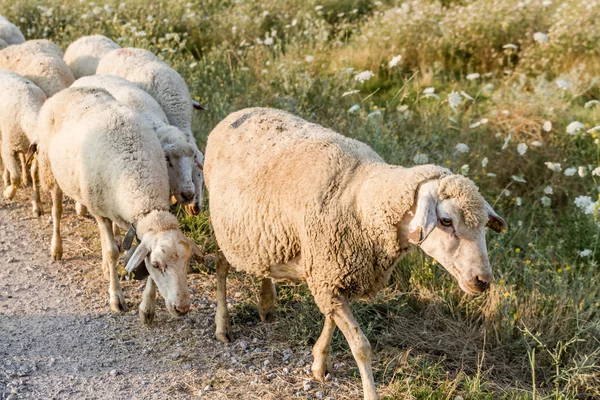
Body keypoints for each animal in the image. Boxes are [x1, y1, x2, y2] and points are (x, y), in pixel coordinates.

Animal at [0, 70, 44, 217]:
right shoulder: (9, 149)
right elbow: (16, 178)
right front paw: (8, 194)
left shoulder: (34, 153)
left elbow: (35, 176)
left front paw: (37, 205)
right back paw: (6, 178)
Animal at [37, 86, 202, 320]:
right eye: (157, 264)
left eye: (188, 263)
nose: (182, 308)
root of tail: (71, 89)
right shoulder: (100, 212)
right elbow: (112, 253)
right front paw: (116, 298)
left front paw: (147, 308)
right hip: (50, 171)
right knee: (57, 211)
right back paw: (57, 248)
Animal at [204, 108, 508, 400]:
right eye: (446, 221)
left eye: (483, 225)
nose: (483, 280)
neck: (363, 198)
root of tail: (235, 115)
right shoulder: (328, 273)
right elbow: (361, 346)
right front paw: (370, 392)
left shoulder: (332, 273)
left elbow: (330, 321)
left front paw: (319, 363)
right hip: (221, 225)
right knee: (220, 267)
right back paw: (222, 326)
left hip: (263, 234)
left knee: (262, 263)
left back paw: (266, 302)